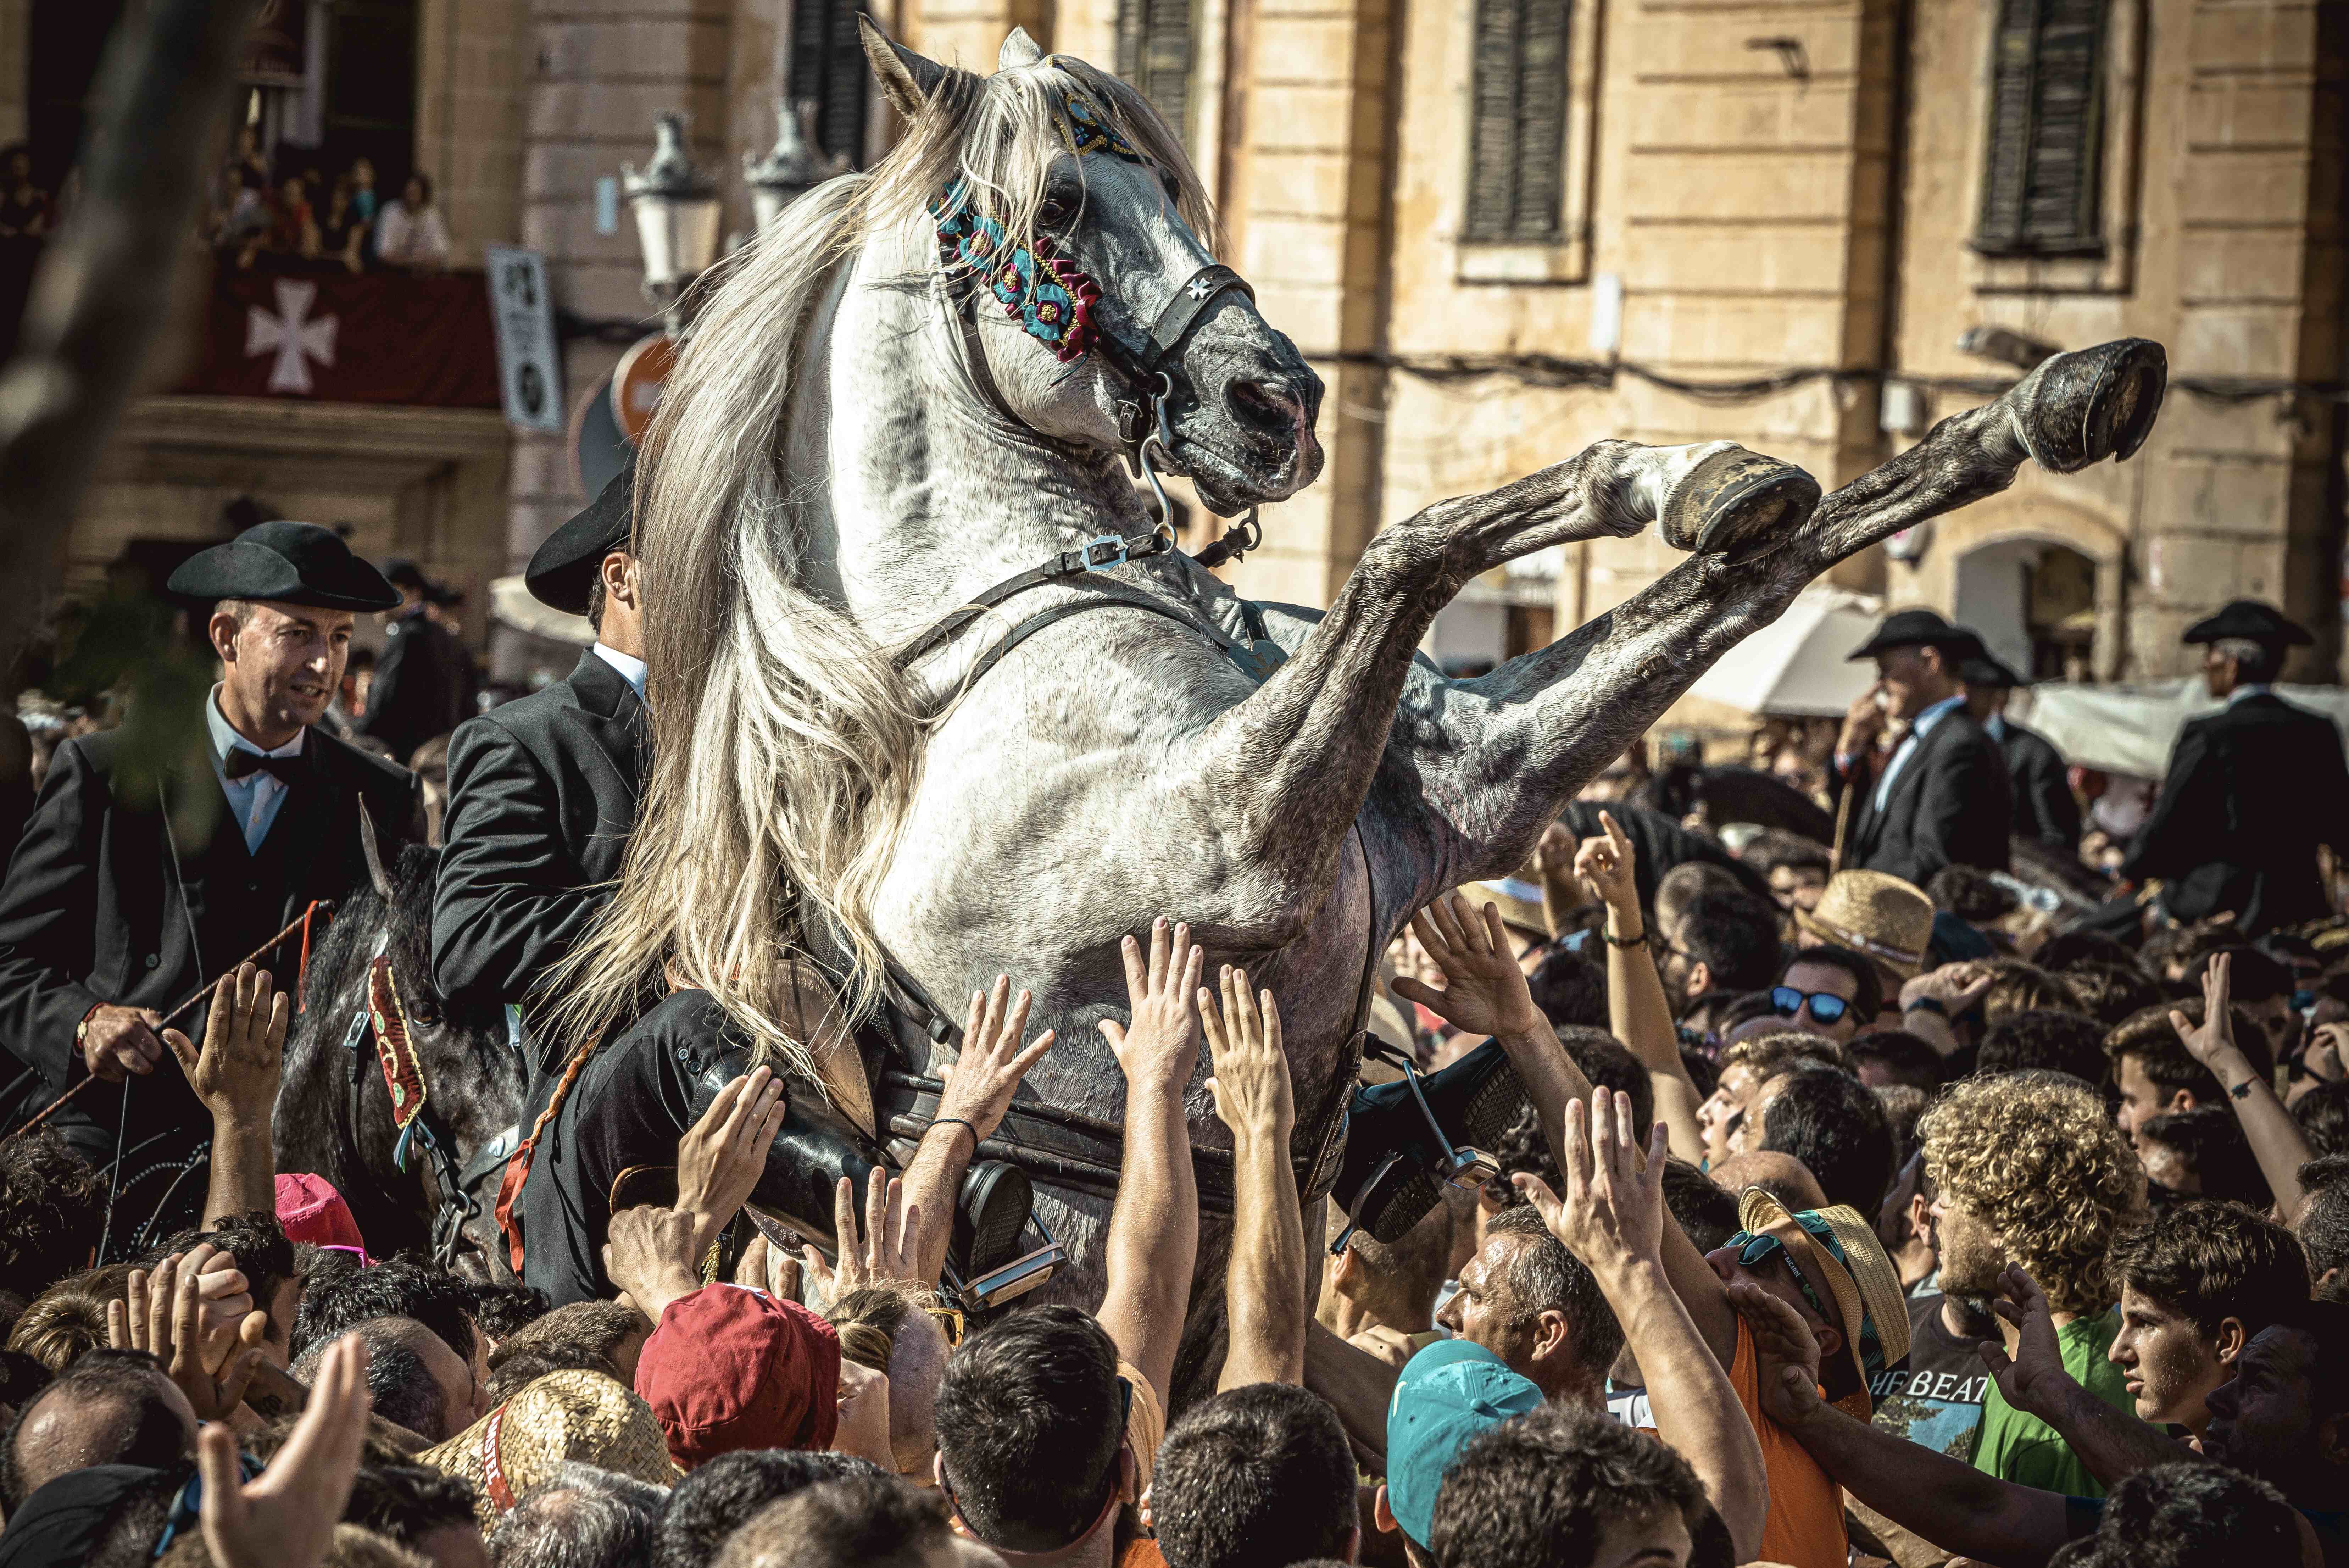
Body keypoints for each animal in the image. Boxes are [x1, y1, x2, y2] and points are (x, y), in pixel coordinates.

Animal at [559, 21, 2170, 1373]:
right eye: (1061, 207)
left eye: (1170, 187)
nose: (1275, 405)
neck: (999, 645)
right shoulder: (1237, 838)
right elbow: (1412, 546)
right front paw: (1701, 478)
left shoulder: (1451, 803)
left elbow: (1754, 563)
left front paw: (1980, 417)